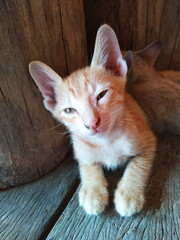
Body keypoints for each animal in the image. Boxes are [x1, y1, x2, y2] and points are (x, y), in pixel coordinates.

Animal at [28, 25, 155, 217]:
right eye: (69, 110)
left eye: (101, 95)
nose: (92, 123)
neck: (106, 141)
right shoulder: (80, 148)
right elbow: (87, 165)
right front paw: (93, 191)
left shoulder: (149, 140)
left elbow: (138, 165)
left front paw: (129, 194)